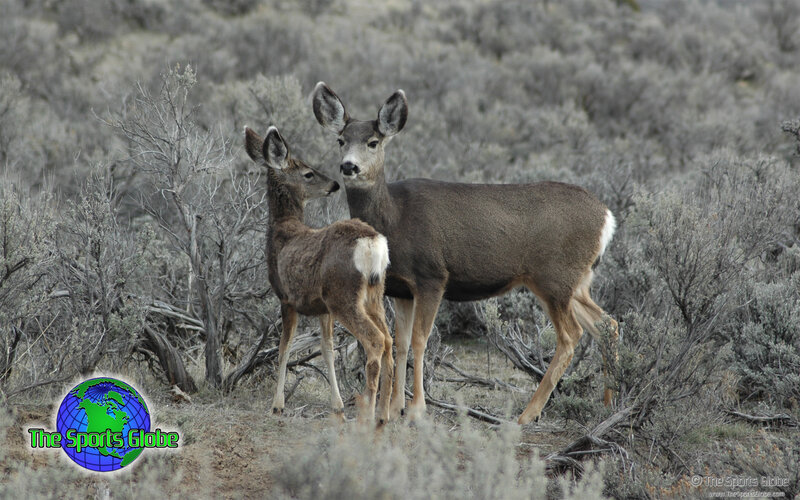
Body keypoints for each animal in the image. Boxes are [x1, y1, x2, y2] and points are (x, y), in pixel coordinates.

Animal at [244, 125, 394, 425]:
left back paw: (367, 415)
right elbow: (327, 350)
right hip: (373, 294)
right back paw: (384, 415)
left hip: (344, 296)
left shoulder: (287, 298)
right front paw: (337, 406)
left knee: (375, 341)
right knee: (391, 341)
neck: (283, 230)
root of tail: (372, 243)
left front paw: (277, 405)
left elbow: (284, 348)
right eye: (308, 173)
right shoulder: (322, 308)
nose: (334, 184)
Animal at [312, 83, 619, 425]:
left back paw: (527, 415)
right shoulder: (400, 288)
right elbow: (400, 342)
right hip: (576, 281)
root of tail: (607, 218)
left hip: (554, 277)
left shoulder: (432, 276)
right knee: (608, 324)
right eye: (341, 140)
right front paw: (394, 408)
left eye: (373, 142)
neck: (394, 219)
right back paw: (609, 403)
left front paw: (417, 409)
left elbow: (420, 340)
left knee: (571, 336)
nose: (348, 166)